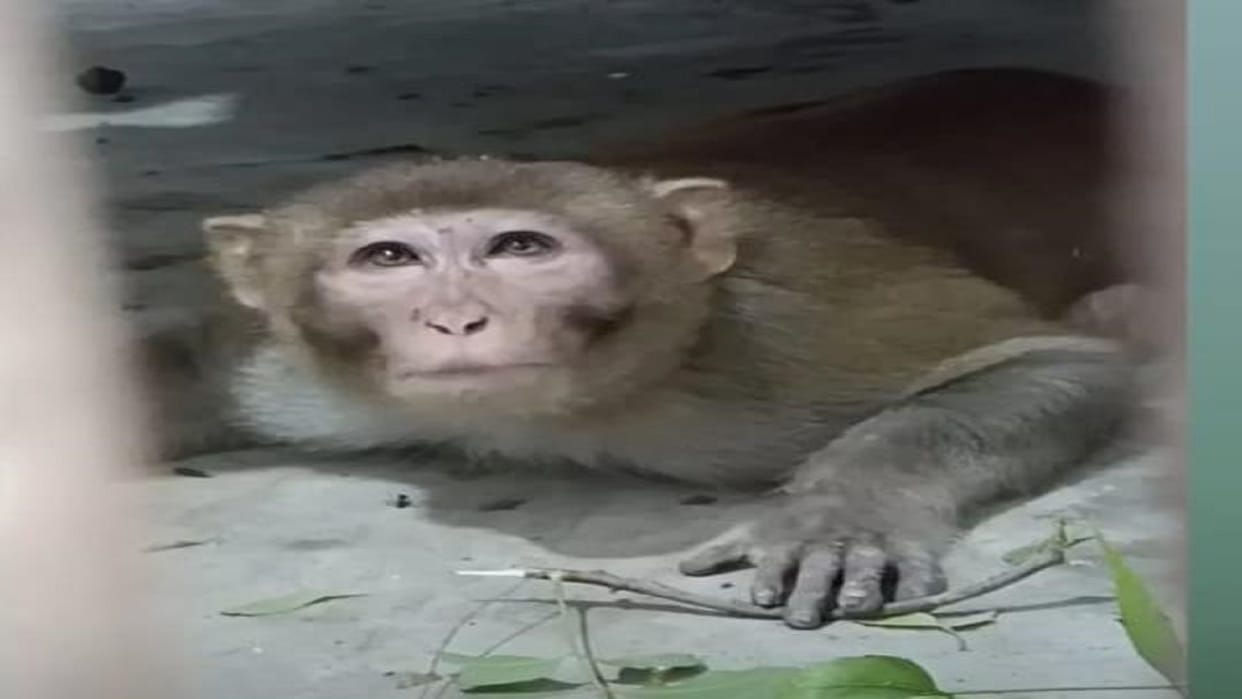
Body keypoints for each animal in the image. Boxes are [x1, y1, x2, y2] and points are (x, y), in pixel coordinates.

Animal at [138, 69, 1151, 629]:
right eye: (387, 258)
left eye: (521, 247)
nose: (458, 319)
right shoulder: (288, 368)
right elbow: (184, 365)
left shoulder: (784, 334)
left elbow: (1047, 358)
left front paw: (838, 518)